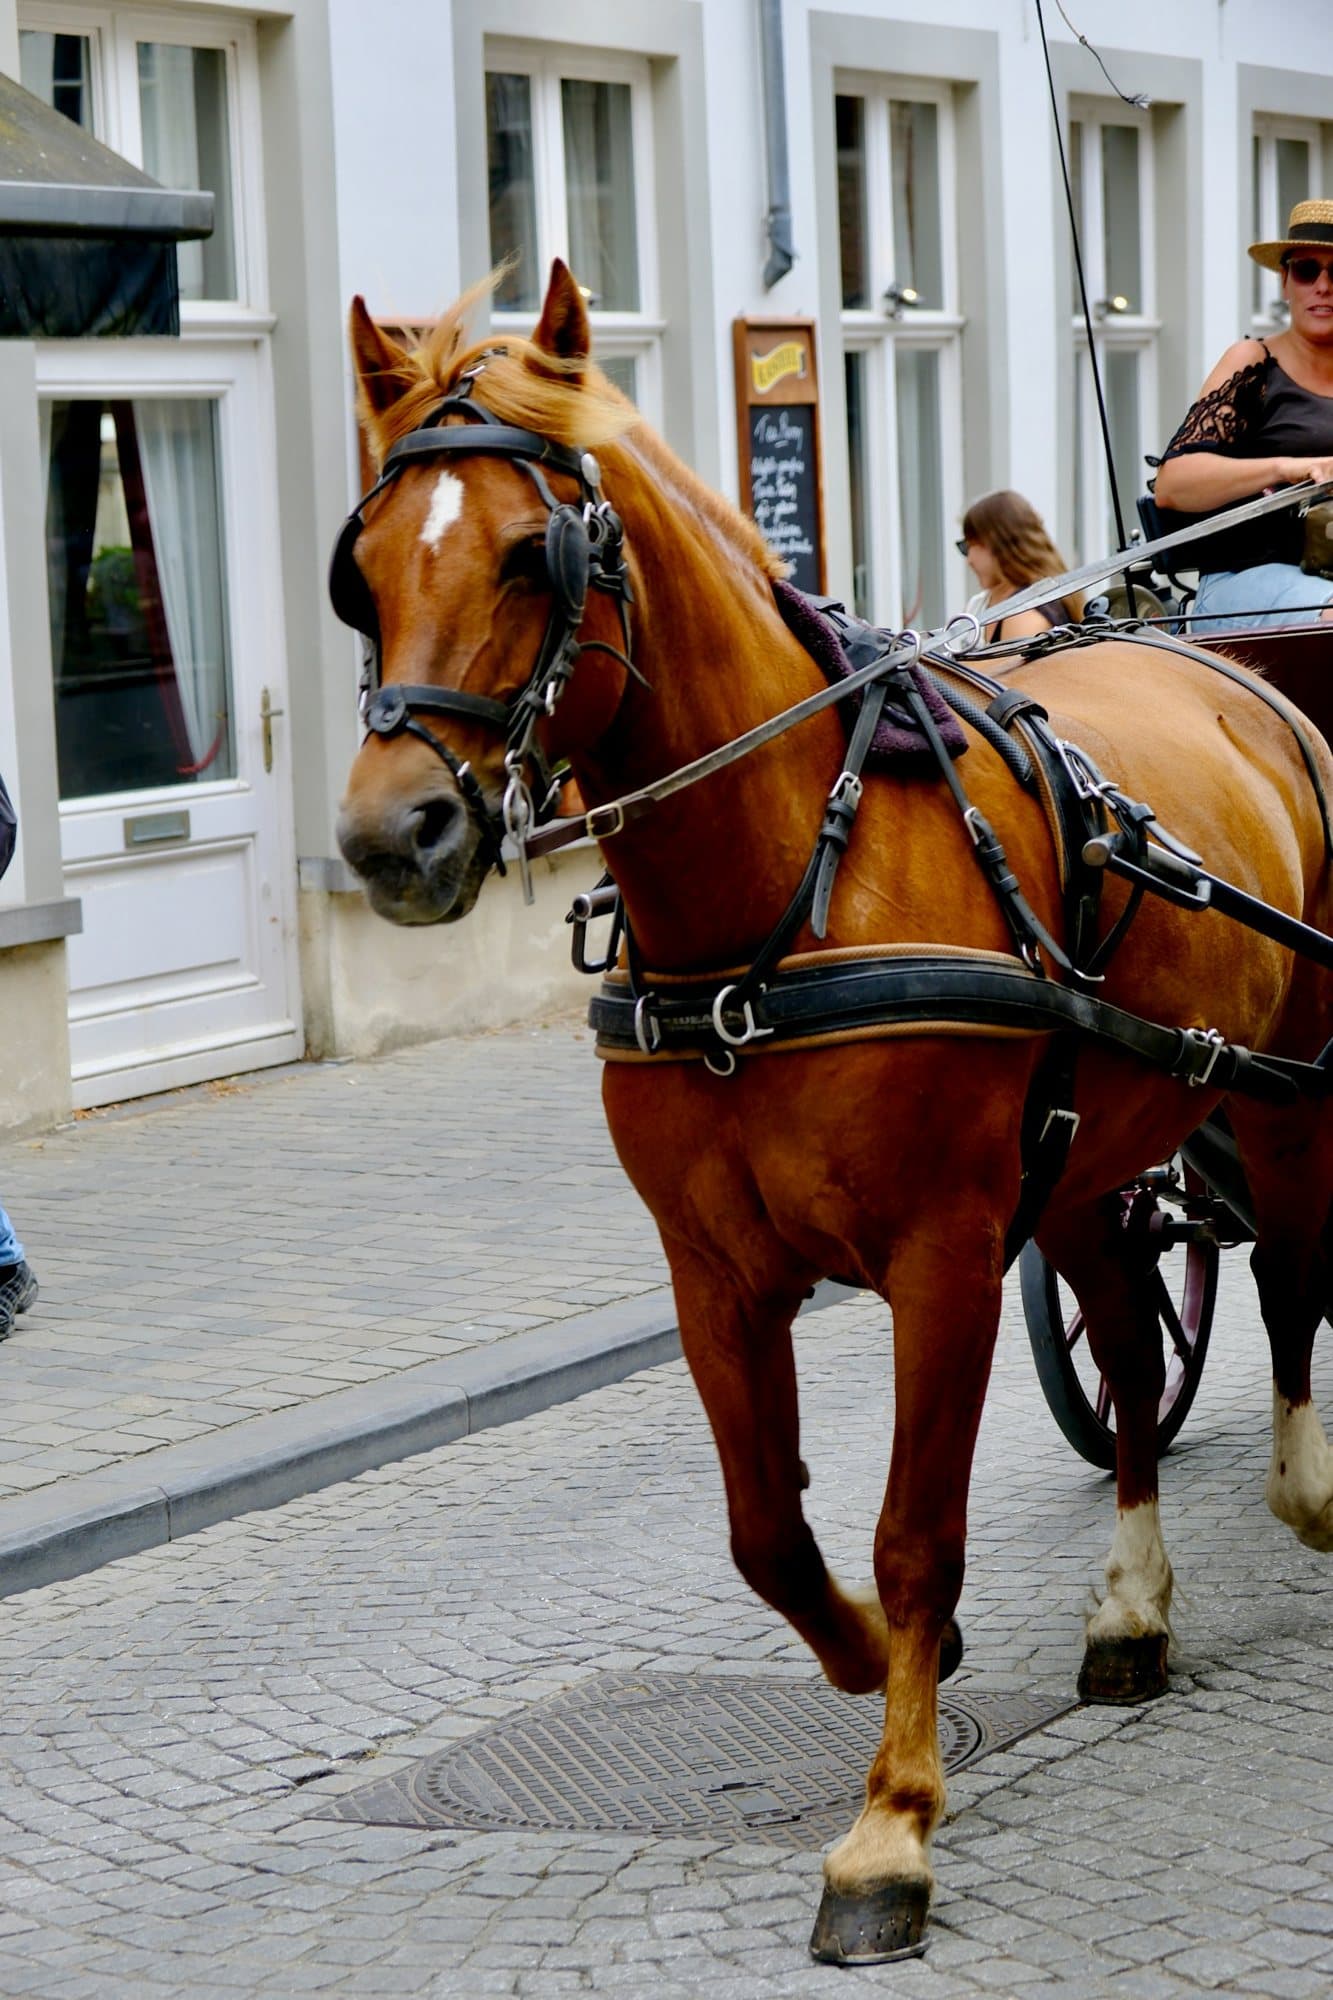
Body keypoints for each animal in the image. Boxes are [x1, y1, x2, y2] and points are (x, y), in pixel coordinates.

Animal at [334, 260, 1333, 1964]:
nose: (390, 839)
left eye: (540, 553)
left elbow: (909, 1534)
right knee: (1139, 1356)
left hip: (1275, 1095)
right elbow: (769, 1533)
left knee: (1293, 1284)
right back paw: (1131, 1610)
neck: (777, 895)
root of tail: (1224, 675)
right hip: (1097, 1160)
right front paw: (874, 1668)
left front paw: (890, 1829)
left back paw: (1309, 1491)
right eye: (363, 564)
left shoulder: (942, 1263)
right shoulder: (717, 1276)